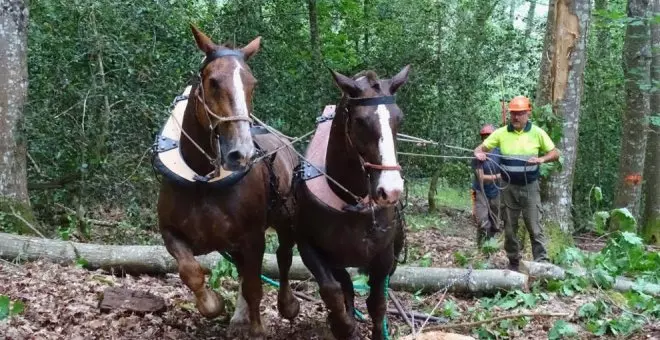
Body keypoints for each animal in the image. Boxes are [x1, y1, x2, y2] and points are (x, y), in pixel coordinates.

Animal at [152, 25, 300, 338]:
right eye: (213, 82)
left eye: (252, 83)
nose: (240, 153)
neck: (202, 180)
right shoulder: (171, 234)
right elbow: (191, 272)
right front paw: (213, 305)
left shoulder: (253, 237)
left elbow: (256, 284)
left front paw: (257, 328)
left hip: (286, 219)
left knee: (283, 258)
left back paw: (287, 305)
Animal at [292, 65, 410, 338]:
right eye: (360, 121)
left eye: (399, 119)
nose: (391, 190)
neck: (350, 200)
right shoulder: (310, 248)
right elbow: (332, 291)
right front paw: (344, 327)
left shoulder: (384, 256)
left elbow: (377, 302)